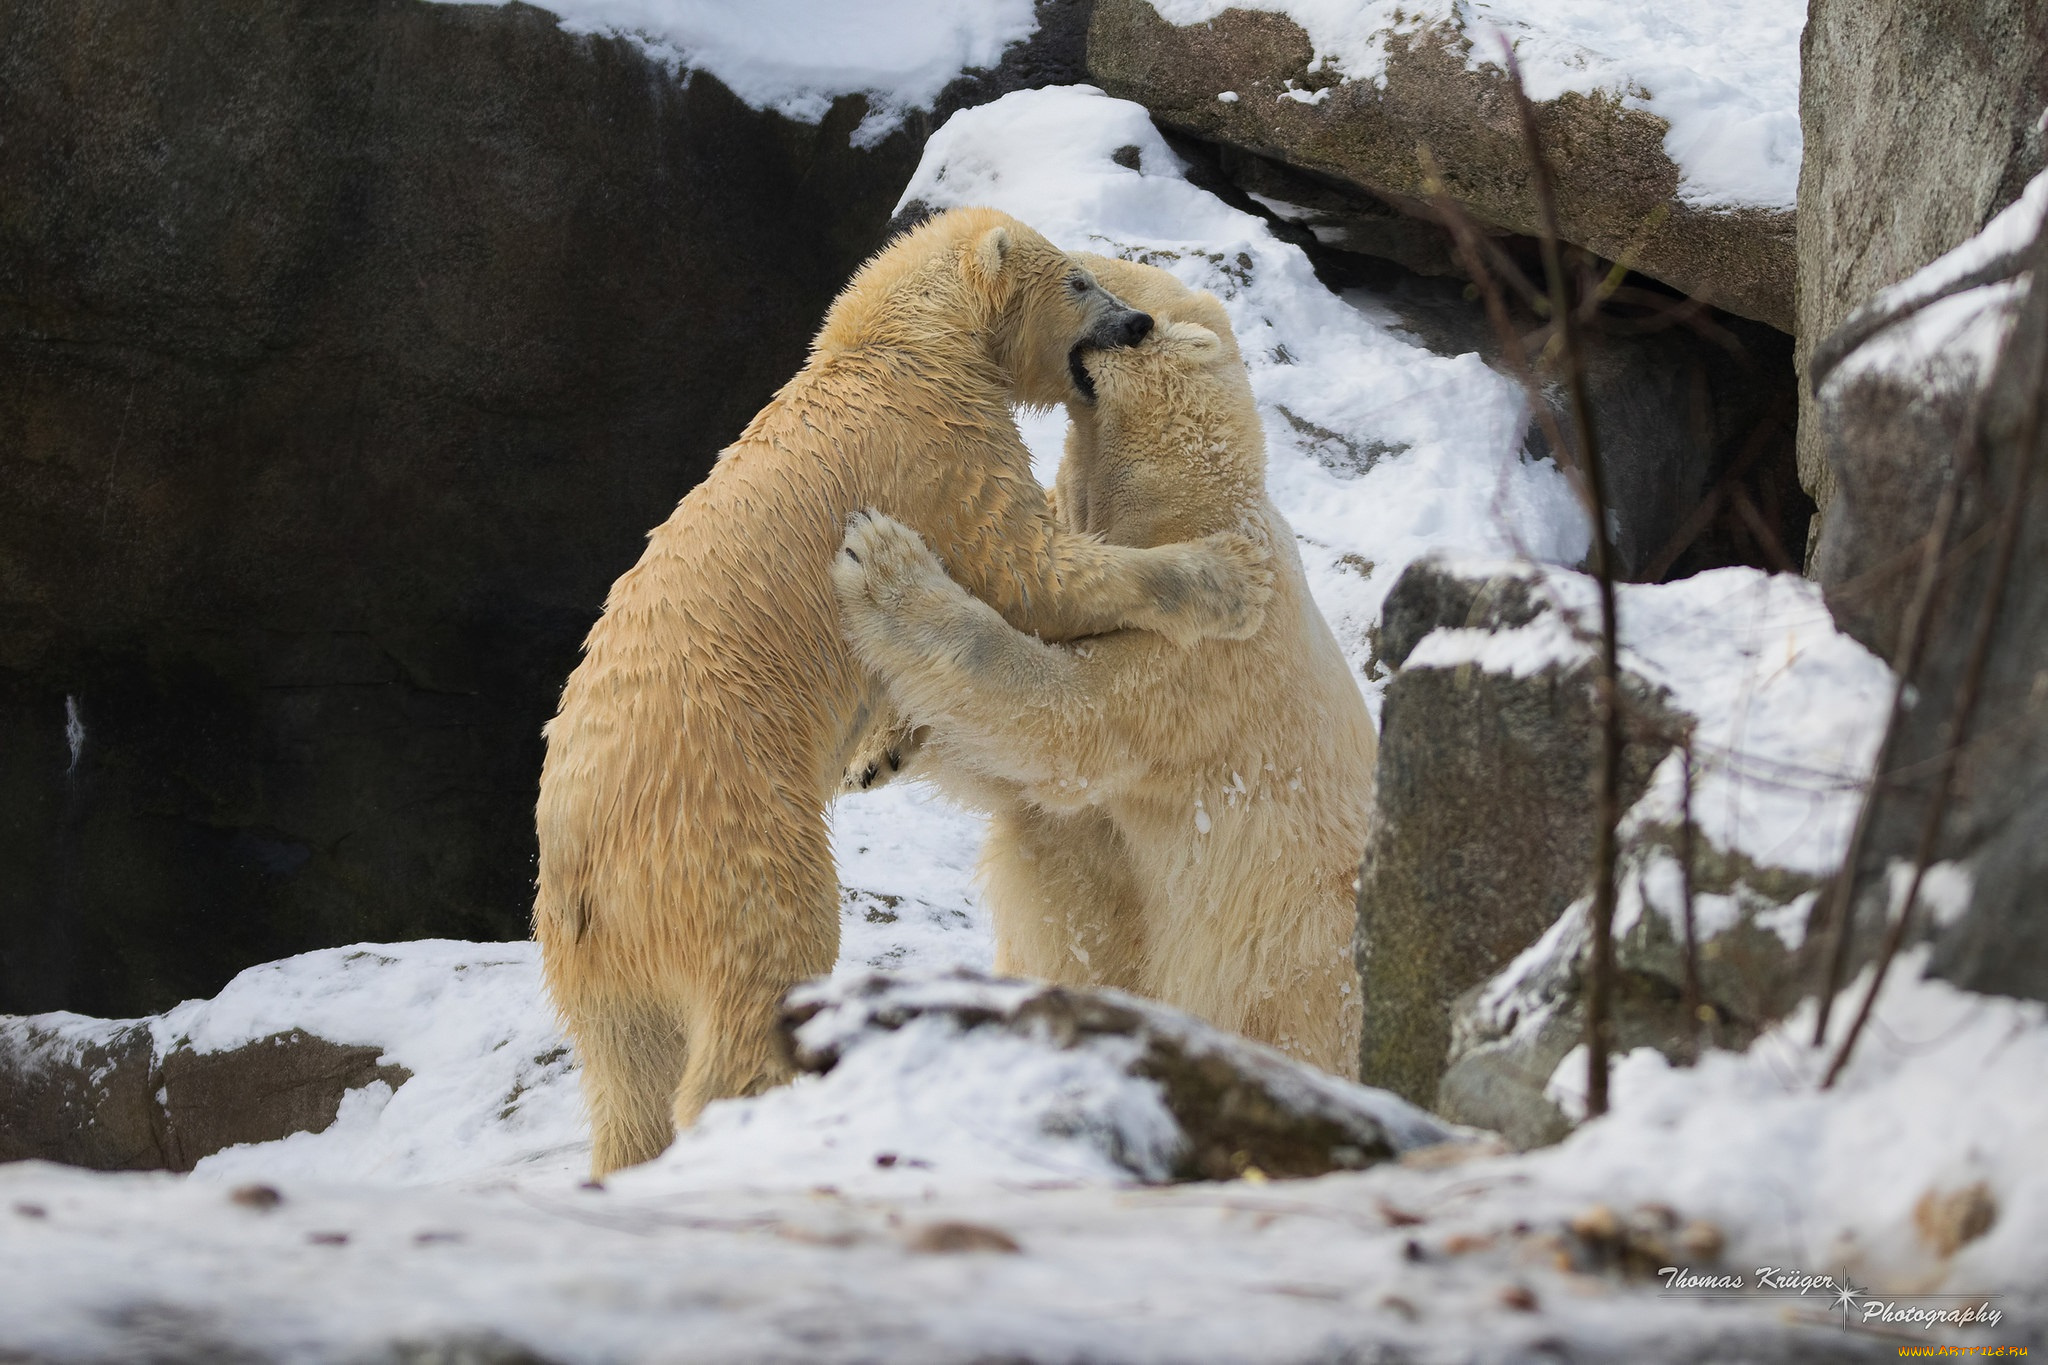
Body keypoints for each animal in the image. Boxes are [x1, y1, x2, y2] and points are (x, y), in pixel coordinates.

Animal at [536, 210, 1269, 1178]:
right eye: (1081, 281)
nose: (1137, 323)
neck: (895, 349)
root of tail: (582, 870)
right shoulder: (936, 449)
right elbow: (1028, 571)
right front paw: (1224, 577)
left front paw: (881, 745)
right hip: (723, 840)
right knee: (763, 964)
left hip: (590, 957)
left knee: (626, 1074)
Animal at [831, 255, 1376, 1080]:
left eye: (1116, 290)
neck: (1183, 507)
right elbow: (1023, 781)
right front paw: (875, 751)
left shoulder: (1203, 664)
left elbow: (1065, 721)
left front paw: (883, 562)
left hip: (1300, 961)